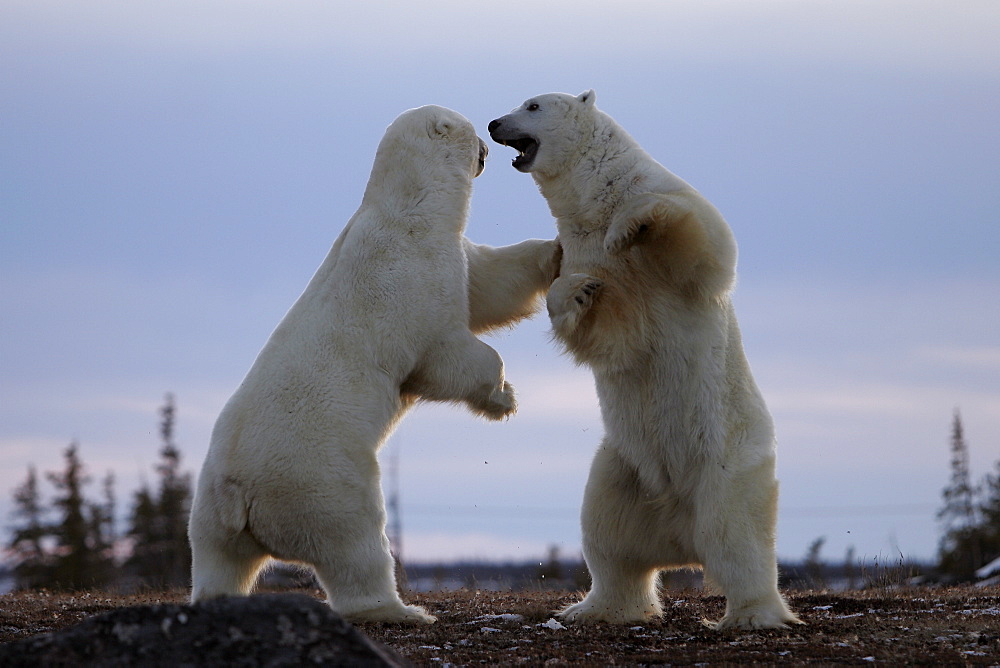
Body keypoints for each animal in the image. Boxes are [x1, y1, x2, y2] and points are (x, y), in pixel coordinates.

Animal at [488, 91, 800, 628]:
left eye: (532, 105)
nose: (492, 123)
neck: (595, 200)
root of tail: (679, 535)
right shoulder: (582, 248)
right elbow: (615, 334)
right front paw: (577, 291)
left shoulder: (660, 199)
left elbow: (702, 242)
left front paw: (632, 226)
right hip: (623, 467)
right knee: (609, 537)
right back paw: (595, 608)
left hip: (726, 461)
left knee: (738, 539)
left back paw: (751, 615)